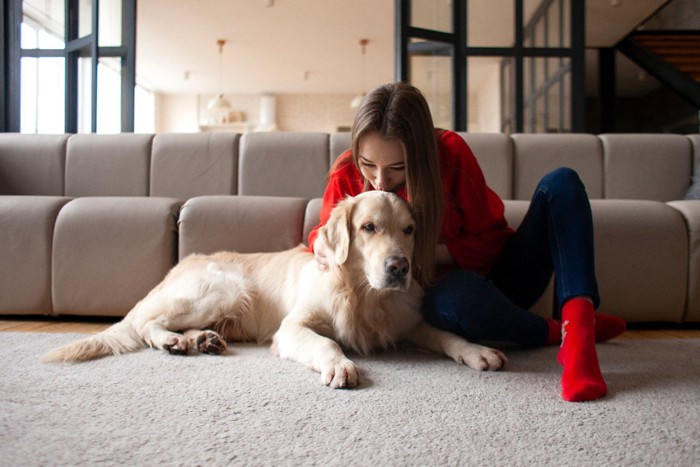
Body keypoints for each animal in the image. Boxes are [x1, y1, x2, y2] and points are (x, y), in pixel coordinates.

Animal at [43, 190, 506, 388]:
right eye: (368, 227)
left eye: (409, 231)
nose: (399, 268)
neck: (362, 294)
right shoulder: (294, 327)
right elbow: (326, 343)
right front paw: (340, 365)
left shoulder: (406, 323)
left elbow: (445, 334)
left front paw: (477, 351)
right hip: (223, 288)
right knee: (146, 324)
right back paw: (173, 341)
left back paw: (201, 340)